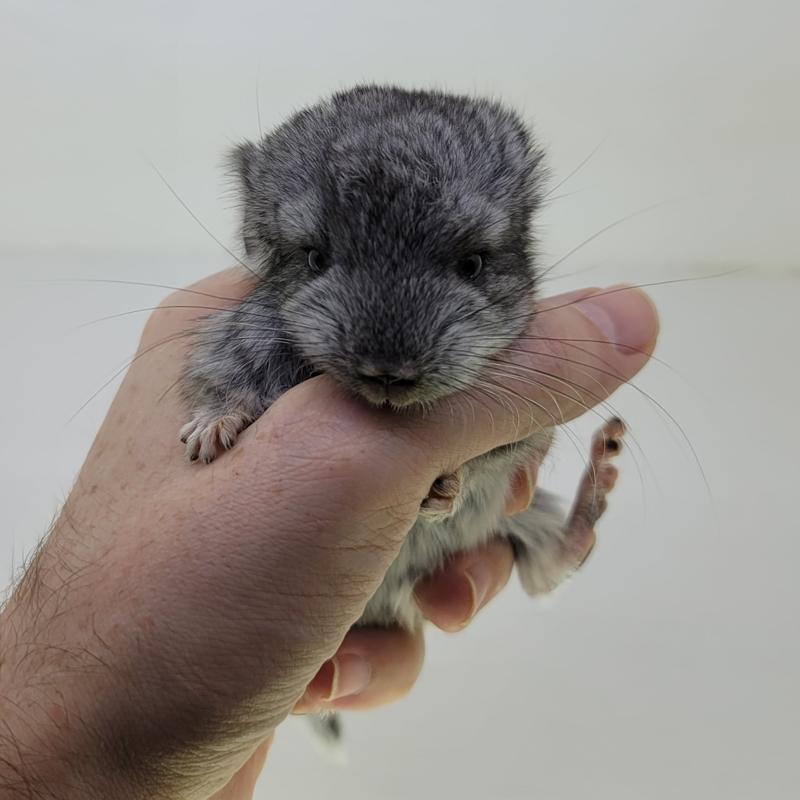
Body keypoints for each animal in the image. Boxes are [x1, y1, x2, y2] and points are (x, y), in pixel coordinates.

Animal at [178, 85, 624, 747]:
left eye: (473, 264)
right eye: (314, 258)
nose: (389, 374)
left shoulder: (522, 426)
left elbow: (491, 459)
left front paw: (443, 489)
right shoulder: (232, 342)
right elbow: (225, 387)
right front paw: (209, 433)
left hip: (518, 521)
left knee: (552, 566)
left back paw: (606, 464)